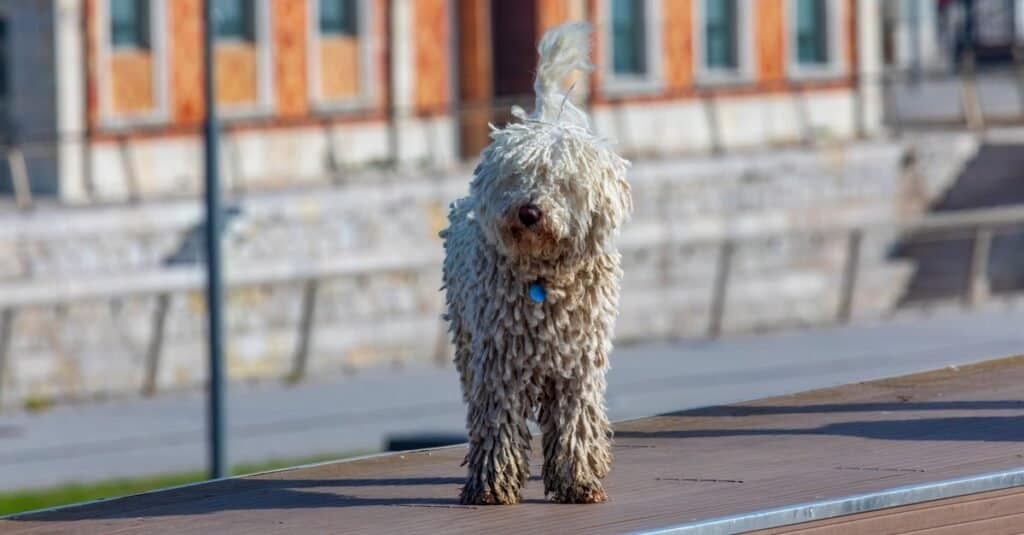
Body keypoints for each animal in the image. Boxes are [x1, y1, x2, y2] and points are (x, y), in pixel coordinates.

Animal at [440, 21, 630, 504]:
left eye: (562, 182)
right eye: (515, 175)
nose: (528, 211)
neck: (544, 276)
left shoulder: (578, 363)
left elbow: (575, 421)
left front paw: (579, 480)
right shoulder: (497, 361)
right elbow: (497, 423)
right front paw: (492, 485)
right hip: (466, 340)